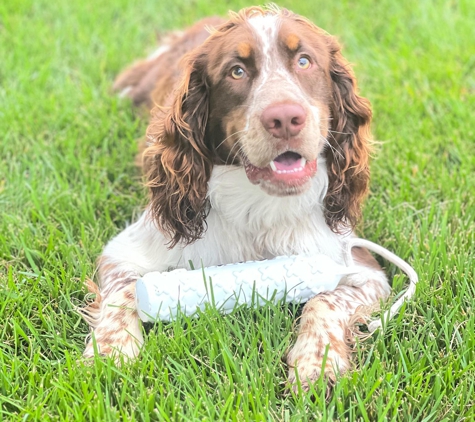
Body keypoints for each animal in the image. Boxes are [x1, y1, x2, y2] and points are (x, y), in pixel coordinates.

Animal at [82, 5, 392, 390]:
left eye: (304, 61)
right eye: (237, 71)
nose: (285, 118)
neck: (257, 207)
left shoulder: (361, 268)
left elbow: (325, 300)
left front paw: (317, 363)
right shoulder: (124, 251)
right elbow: (125, 290)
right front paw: (109, 353)